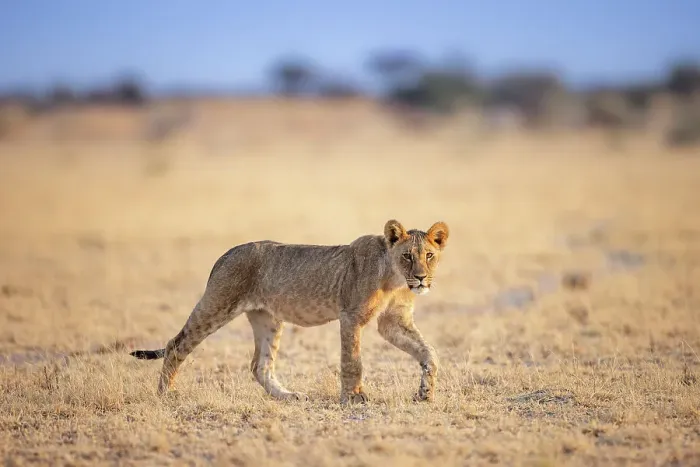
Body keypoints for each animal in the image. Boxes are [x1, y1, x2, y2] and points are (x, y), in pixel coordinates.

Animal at [130, 219, 449, 404]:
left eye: (429, 255)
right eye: (407, 255)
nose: (421, 279)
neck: (395, 279)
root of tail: (226, 253)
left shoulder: (393, 322)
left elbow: (429, 352)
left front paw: (425, 393)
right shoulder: (351, 316)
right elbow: (352, 361)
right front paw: (354, 398)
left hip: (267, 319)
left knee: (259, 365)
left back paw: (287, 396)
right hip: (217, 304)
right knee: (176, 345)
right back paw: (166, 395)